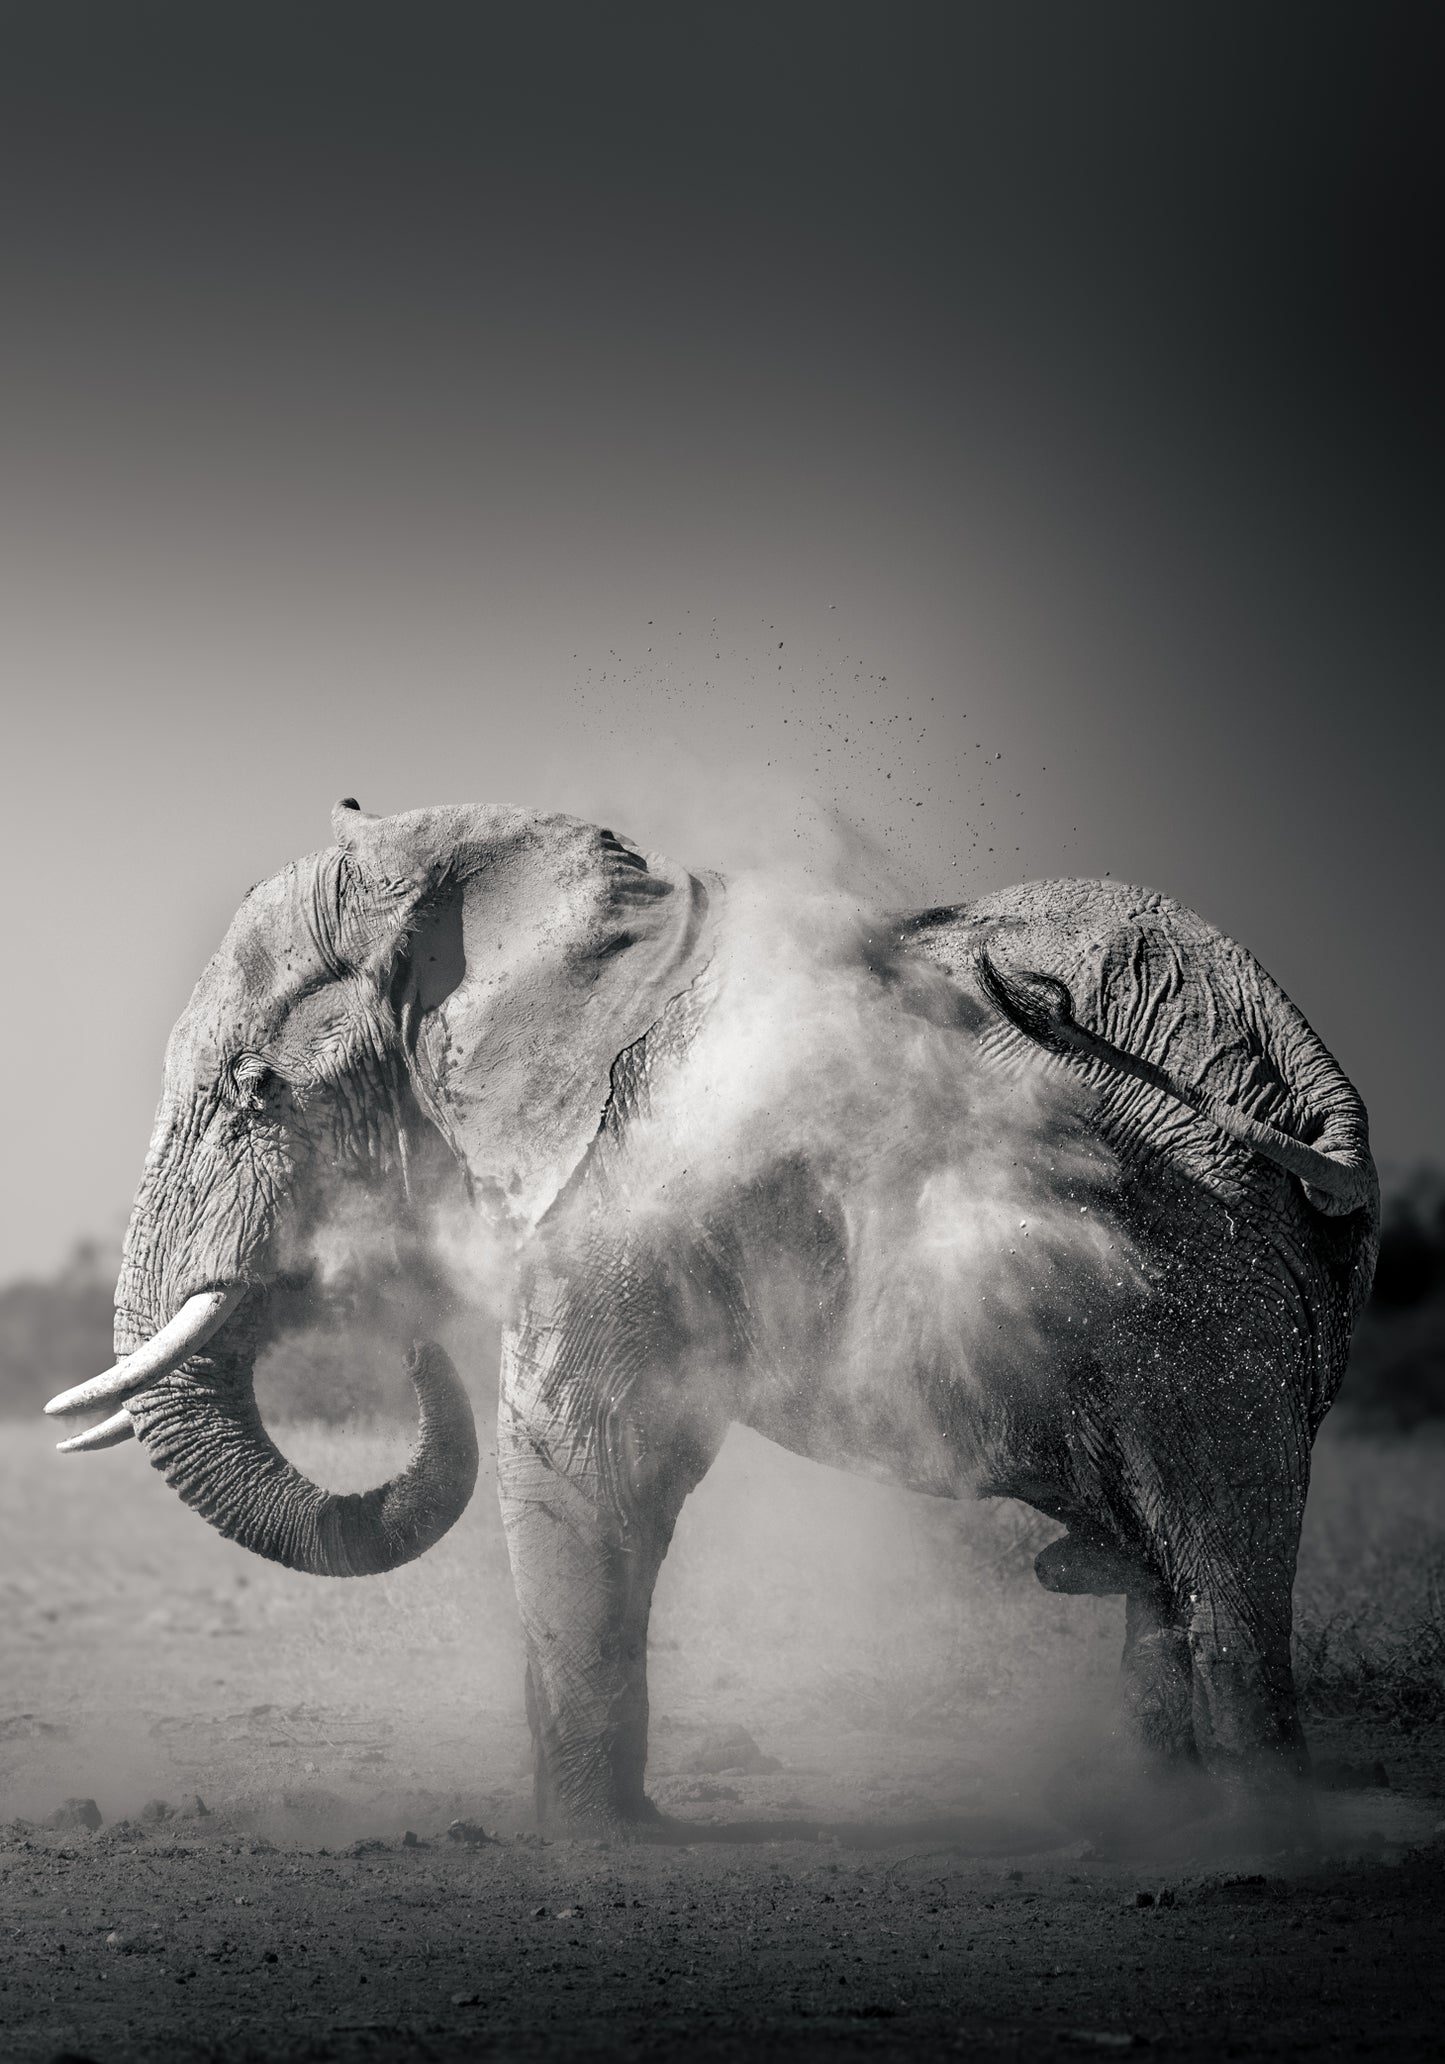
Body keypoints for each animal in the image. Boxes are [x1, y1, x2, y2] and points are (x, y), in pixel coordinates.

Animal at [47, 799, 1378, 1847]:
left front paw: (587, 1847)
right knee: (1169, 1586)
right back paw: (1157, 1815)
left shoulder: (633, 1177)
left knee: (1219, 1565)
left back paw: (1250, 1841)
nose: (409, 1342)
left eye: (254, 1089)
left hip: (1205, 1320)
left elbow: (583, 1459)